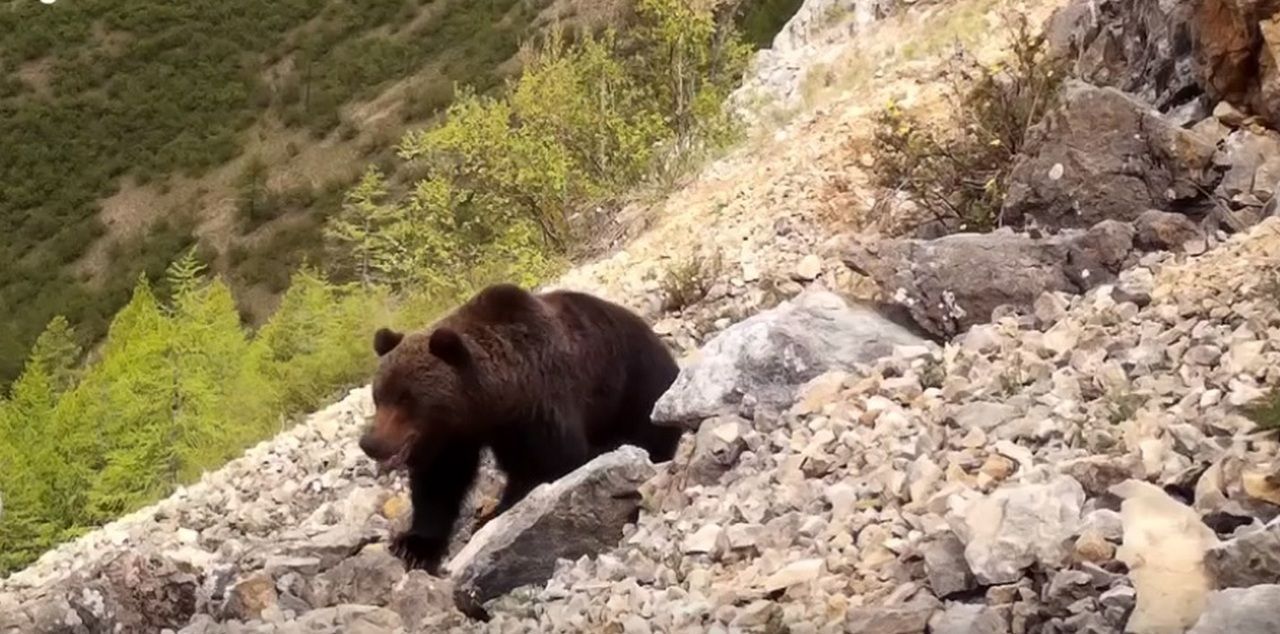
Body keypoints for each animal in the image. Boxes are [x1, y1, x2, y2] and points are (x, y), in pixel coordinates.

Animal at [355, 285, 686, 573]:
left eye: (406, 399)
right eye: (378, 396)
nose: (371, 442)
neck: (493, 402)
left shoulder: (539, 408)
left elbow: (548, 464)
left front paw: (494, 516)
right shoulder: (454, 435)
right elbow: (440, 481)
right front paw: (413, 546)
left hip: (639, 387)